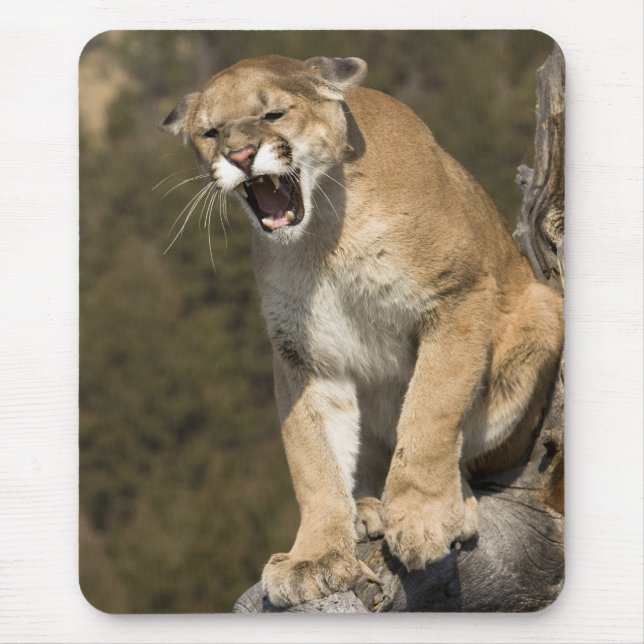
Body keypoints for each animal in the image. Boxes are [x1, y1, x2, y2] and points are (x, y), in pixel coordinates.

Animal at [160, 55, 563, 608]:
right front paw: (313, 558)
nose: (240, 155)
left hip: (542, 309)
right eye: (210, 132)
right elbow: (311, 456)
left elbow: (431, 412)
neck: (324, 234)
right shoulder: (302, 354)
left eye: (274, 113)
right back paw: (367, 509)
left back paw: (448, 505)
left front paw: (421, 518)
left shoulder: (457, 296)